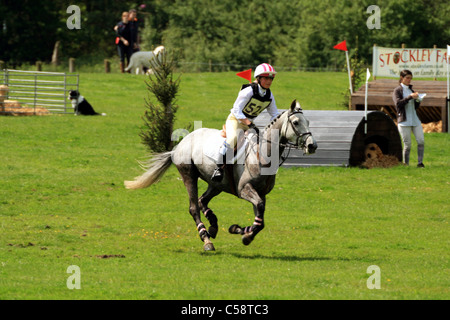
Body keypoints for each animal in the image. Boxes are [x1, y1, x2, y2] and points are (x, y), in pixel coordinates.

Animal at [125, 100, 318, 250]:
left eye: (308, 121)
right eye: (296, 122)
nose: (312, 146)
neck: (262, 153)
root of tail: (180, 144)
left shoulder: (260, 193)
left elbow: (260, 219)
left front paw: (241, 232)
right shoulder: (244, 189)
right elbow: (259, 214)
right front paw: (244, 234)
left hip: (216, 184)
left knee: (202, 200)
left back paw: (213, 226)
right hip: (189, 175)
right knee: (194, 207)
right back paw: (206, 239)